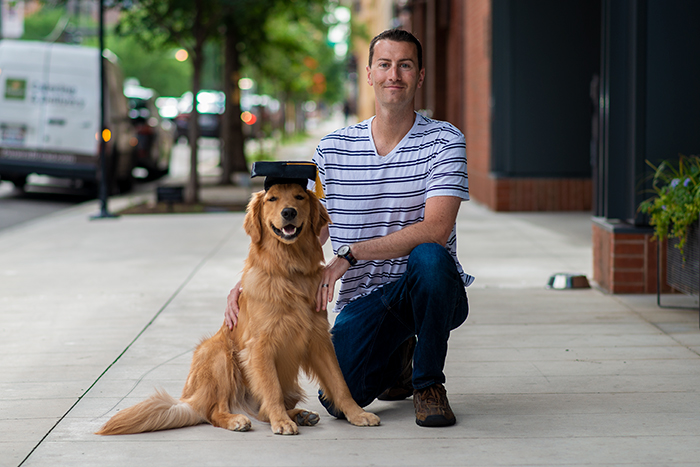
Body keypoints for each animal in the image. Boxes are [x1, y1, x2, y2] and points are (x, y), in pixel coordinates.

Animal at [96, 185, 380, 436]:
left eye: (299, 196)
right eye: (272, 198)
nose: (288, 212)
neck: (289, 270)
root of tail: (190, 400)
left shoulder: (319, 339)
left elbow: (340, 383)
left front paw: (357, 414)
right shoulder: (260, 346)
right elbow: (271, 388)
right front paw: (281, 422)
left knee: (261, 410)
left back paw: (299, 414)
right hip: (220, 355)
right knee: (214, 411)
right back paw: (237, 420)